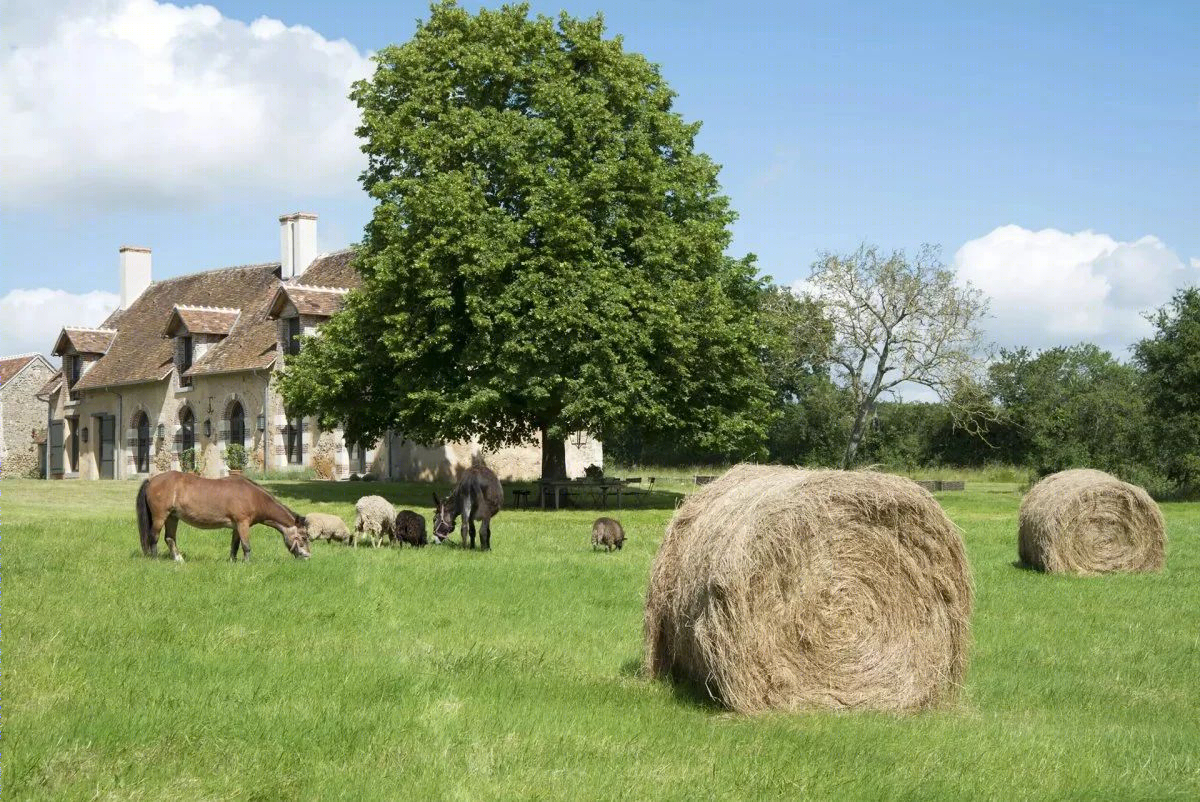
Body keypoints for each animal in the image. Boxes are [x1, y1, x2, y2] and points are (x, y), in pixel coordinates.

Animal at [134, 473, 312, 561]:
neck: (254, 497)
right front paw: (247, 564)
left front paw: (233, 562)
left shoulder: (236, 527)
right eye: (303, 537)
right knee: (153, 537)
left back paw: (178, 559)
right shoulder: (242, 524)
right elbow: (246, 546)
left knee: (170, 538)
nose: (308, 557)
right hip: (160, 517)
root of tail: (151, 480)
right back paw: (155, 559)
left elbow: (235, 546)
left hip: (172, 517)